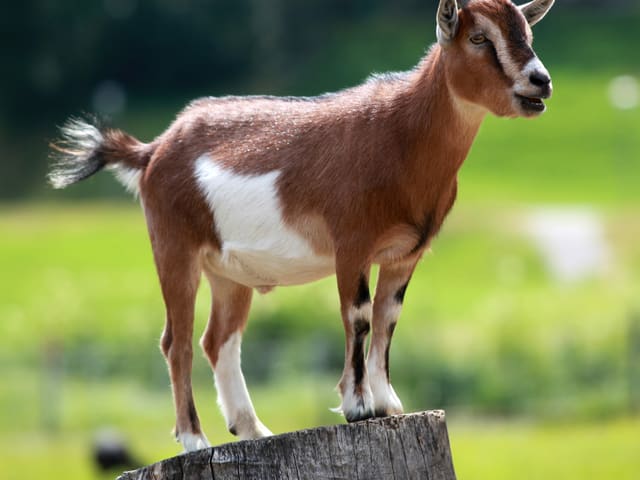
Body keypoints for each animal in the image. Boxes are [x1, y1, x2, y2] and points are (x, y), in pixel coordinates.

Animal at [48, 0, 555, 452]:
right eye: (478, 38)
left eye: (527, 33)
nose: (541, 81)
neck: (401, 136)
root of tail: (152, 151)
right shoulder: (352, 245)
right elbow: (359, 316)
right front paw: (358, 407)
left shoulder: (406, 254)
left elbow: (388, 318)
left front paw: (389, 404)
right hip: (174, 247)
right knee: (177, 342)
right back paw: (194, 439)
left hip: (228, 273)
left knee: (218, 340)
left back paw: (253, 429)